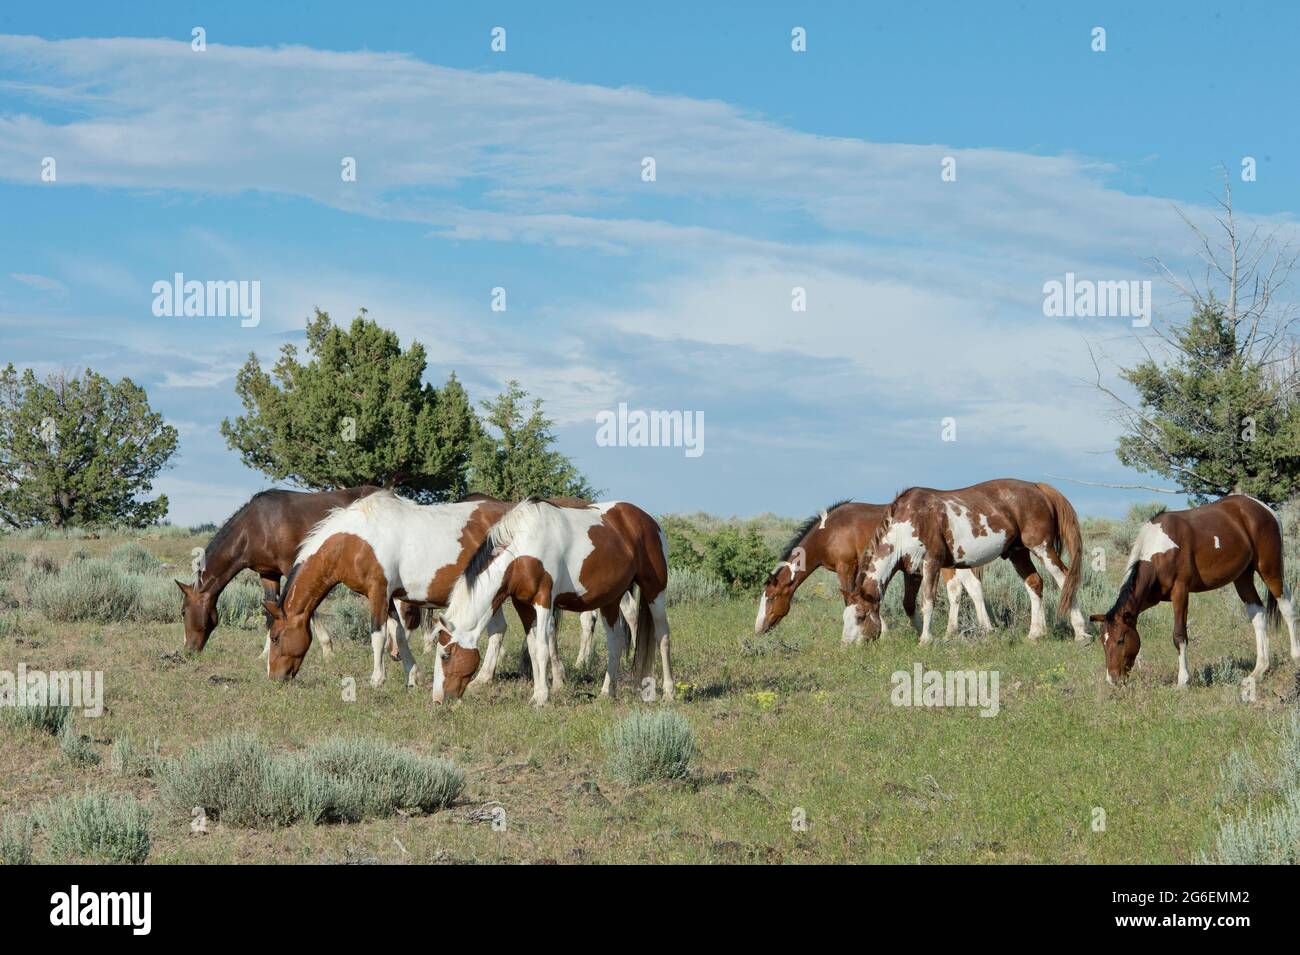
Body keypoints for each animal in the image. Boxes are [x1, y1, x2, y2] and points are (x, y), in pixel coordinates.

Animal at [178, 485, 379, 657]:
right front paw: (265, 653)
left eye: (183, 612)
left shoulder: (291, 566)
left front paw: (327, 649)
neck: (255, 527)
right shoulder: (268, 574)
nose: (188, 650)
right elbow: (270, 610)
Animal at [436, 501, 676, 712]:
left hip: (654, 591)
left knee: (662, 637)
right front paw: (537, 694)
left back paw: (668, 693)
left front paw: (542, 698)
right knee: (615, 642)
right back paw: (607, 692)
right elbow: (533, 649)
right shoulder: (523, 606)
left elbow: (543, 648)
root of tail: (649, 521)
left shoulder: (543, 601)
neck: (522, 552)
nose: (438, 699)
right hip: (611, 599)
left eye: (445, 656)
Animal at [754, 501, 993, 641]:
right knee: (959, 591)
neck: (830, 532)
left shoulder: (846, 568)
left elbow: (851, 599)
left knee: (969, 589)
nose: (758, 629)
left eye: (771, 597)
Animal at [842, 480, 1086, 647]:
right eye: (845, 617)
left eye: (860, 616)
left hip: (1042, 548)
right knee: (1035, 584)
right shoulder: (912, 570)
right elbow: (910, 603)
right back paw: (1036, 633)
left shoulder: (932, 563)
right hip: (1018, 553)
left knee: (1065, 579)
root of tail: (1038, 487)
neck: (910, 520)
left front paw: (926, 639)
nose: (846, 645)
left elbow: (927, 601)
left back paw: (1081, 632)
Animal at [1092, 496, 1294, 691]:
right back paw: (1259, 671)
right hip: (1243, 578)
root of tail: (1265, 509)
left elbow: (1179, 635)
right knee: (1258, 614)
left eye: (1120, 640)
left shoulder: (1180, 592)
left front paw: (1183, 681)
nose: (1113, 679)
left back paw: (1295, 656)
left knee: (1287, 607)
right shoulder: (1149, 599)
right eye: (1103, 641)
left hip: (1270, 569)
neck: (1160, 551)